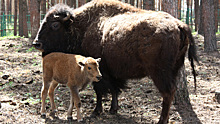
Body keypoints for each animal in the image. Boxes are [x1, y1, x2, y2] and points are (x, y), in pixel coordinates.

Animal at [32, 0, 198, 123]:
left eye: (55, 25)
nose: (36, 43)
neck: (81, 26)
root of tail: (180, 25)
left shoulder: (100, 72)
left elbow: (100, 91)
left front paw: (97, 111)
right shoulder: (112, 73)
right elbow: (114, 90)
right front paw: (113, 109)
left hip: (159, 72)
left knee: (168, 93)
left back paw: (161, 121)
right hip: (175, 68)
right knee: (171, 91)